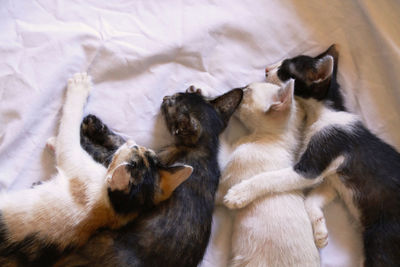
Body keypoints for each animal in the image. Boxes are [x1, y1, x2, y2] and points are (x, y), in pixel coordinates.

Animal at [0, 74, 191, 267]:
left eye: (133, 150)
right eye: (142, 150)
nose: (133, 144)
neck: (115, 207)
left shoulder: (76, 162)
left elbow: (69, 131)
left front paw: (79, 85)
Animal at [55, 87, 244, 266]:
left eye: (172, 103)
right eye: (179, 94)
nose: (166, 97)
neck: (204, 148)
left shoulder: (151, 162)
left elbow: (112, 153)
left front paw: (84, 136)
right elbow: (123, 142)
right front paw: (95, 125)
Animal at [223, 45, 400, 266]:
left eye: (285, 70)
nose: (266, 69)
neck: (325, 113)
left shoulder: (316, 161)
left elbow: (271, 177)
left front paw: (239, 193)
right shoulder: (330, 178)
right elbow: (311, 199)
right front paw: (320, 231)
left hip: (382, 239)